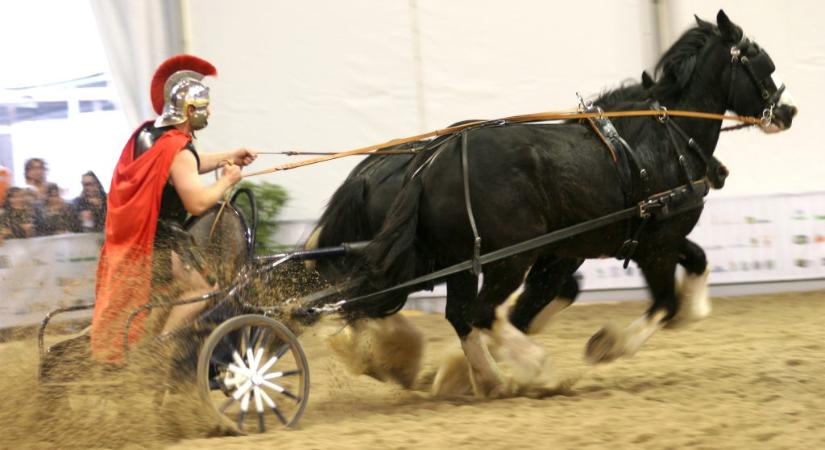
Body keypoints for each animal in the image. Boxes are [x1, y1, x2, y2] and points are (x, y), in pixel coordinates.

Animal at [348, 11, 800, 398]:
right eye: (764, 65)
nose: (788, 112)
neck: (668, 139)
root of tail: (431, 162)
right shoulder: (655, 246)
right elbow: (665, 305)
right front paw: (607, 344)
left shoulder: (653, 238)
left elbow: (697, 268)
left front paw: (692, 309)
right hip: (509, 258)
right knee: (481, 314)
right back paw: (537, 370)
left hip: (462, 260)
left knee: (463, 316)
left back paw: (488, 379)